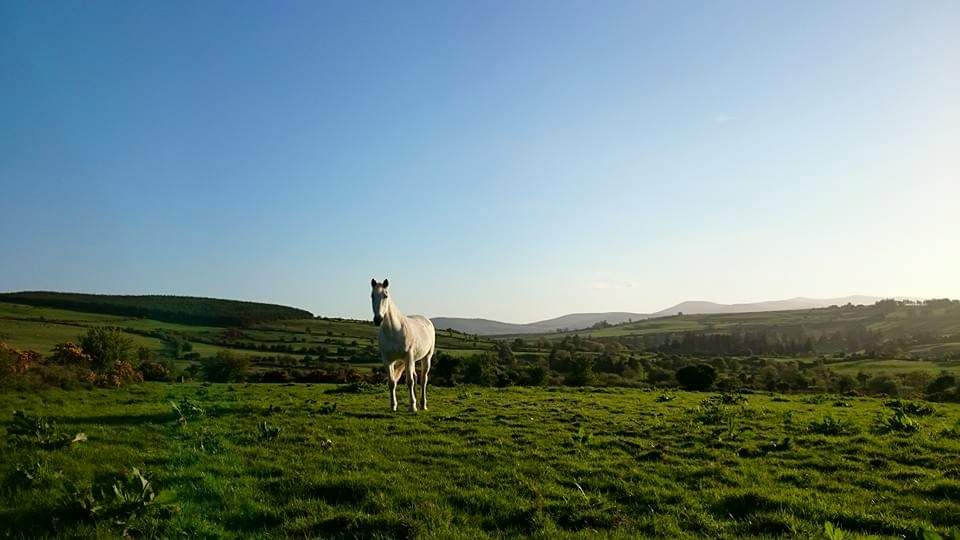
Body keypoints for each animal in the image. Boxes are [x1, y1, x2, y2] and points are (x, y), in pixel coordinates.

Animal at [370, 280, 436, 412]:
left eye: (385, 295)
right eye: (372, 296)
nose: (378, 319)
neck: (394, 331)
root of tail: (427, 320)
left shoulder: (408, 357)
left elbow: (409, 381)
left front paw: (412, 407)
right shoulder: (388, 360)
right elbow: (392, 382)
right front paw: (393, 406)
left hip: (426, 358)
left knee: (423, 379)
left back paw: (422, 404)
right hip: (413, 360)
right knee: (416, 377)